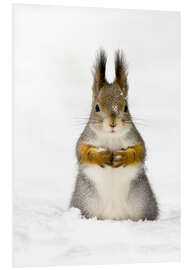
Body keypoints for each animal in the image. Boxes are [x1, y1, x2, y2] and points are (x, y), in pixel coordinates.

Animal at [69, 49, 158, 220]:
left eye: (126, 107)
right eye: (96, 107)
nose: (113, 123)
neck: (110, 136)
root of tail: (113, 217)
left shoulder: (136, 138)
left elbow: (140, 152)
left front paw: (124, 156)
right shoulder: (85, 138)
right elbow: (82, 151)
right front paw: (99, 156)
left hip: (142, 201)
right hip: (84, 201)